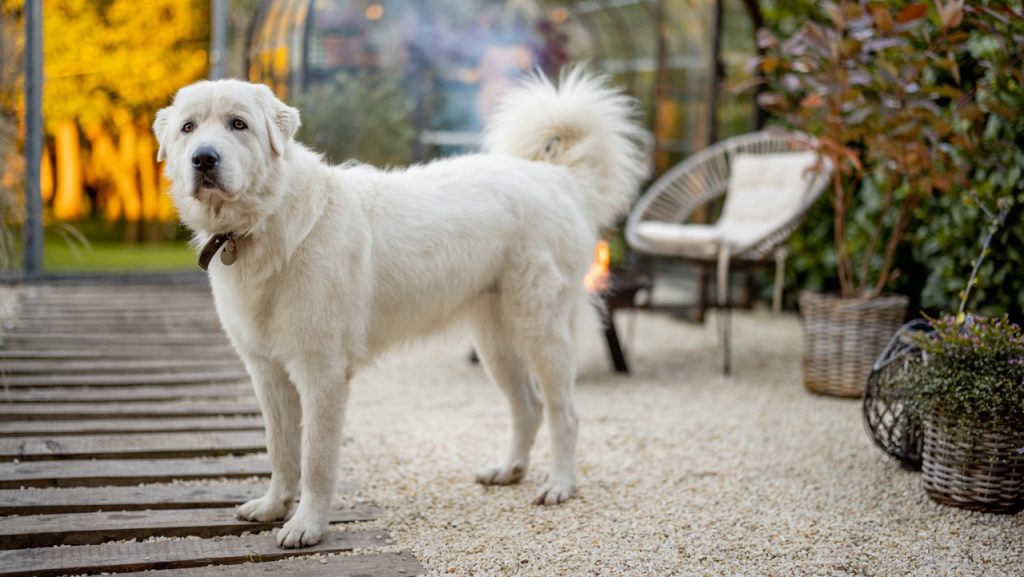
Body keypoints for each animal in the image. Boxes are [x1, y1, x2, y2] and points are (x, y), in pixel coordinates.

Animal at [151, 70, 647, 549]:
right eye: (188, 128)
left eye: (238, 124)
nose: (204, 159)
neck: (268, 223)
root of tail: (557, 178)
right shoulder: (267, 372)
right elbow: (280, 449)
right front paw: (274, 506)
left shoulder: (322, 374)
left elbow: (315, 459)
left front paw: (307, 525)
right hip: (495, 344)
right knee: (528, 407)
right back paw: (508, 471)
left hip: (542, 332)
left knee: (564, 414)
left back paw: (559, 485)